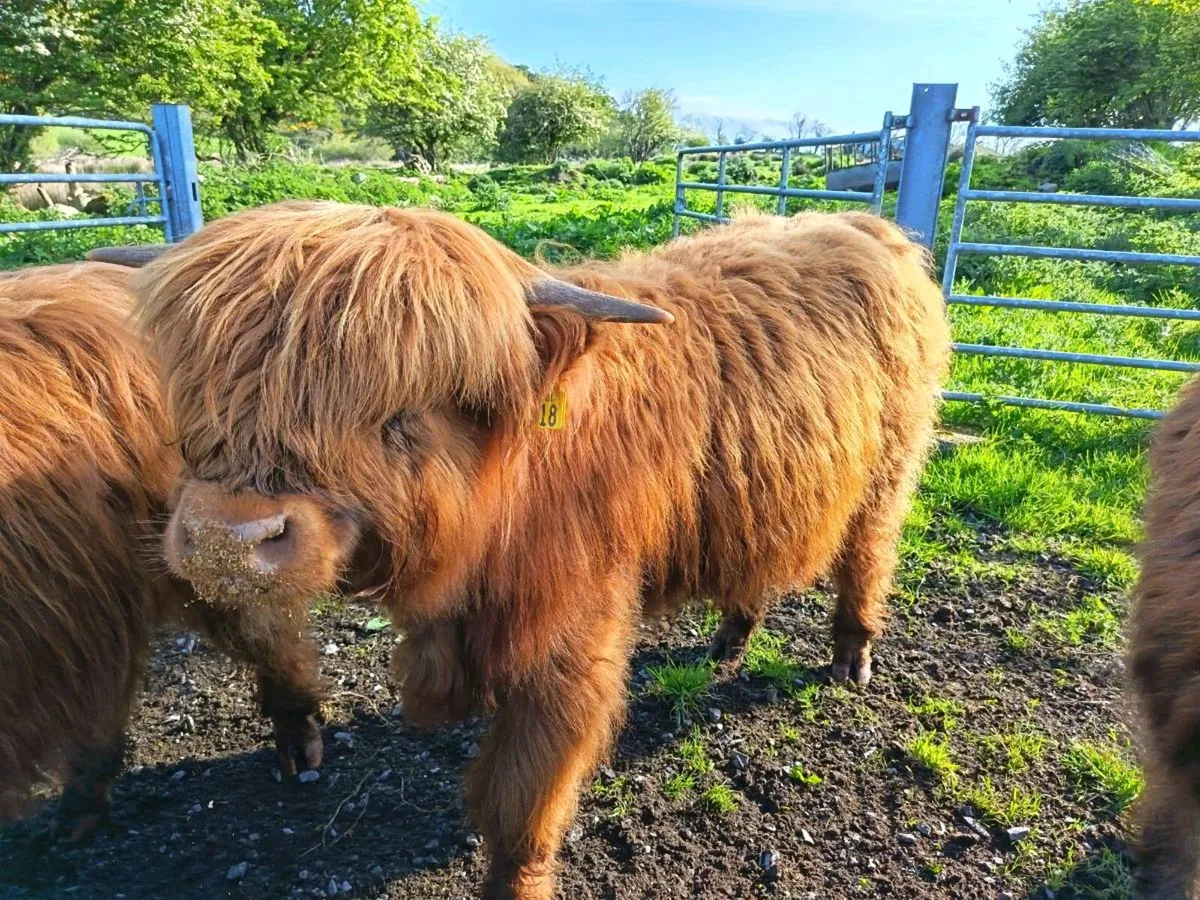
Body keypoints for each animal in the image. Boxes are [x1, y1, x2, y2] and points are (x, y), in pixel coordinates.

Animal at [128, 200, 950, 899]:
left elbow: (522, 799)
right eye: (202, 391)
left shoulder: (570, 650)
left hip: (889, 474)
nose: (226, 541)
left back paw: (851, 658)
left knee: (867, 557)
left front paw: (516, 878)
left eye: (398, 413)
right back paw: (728, 641)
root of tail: (866, 226)